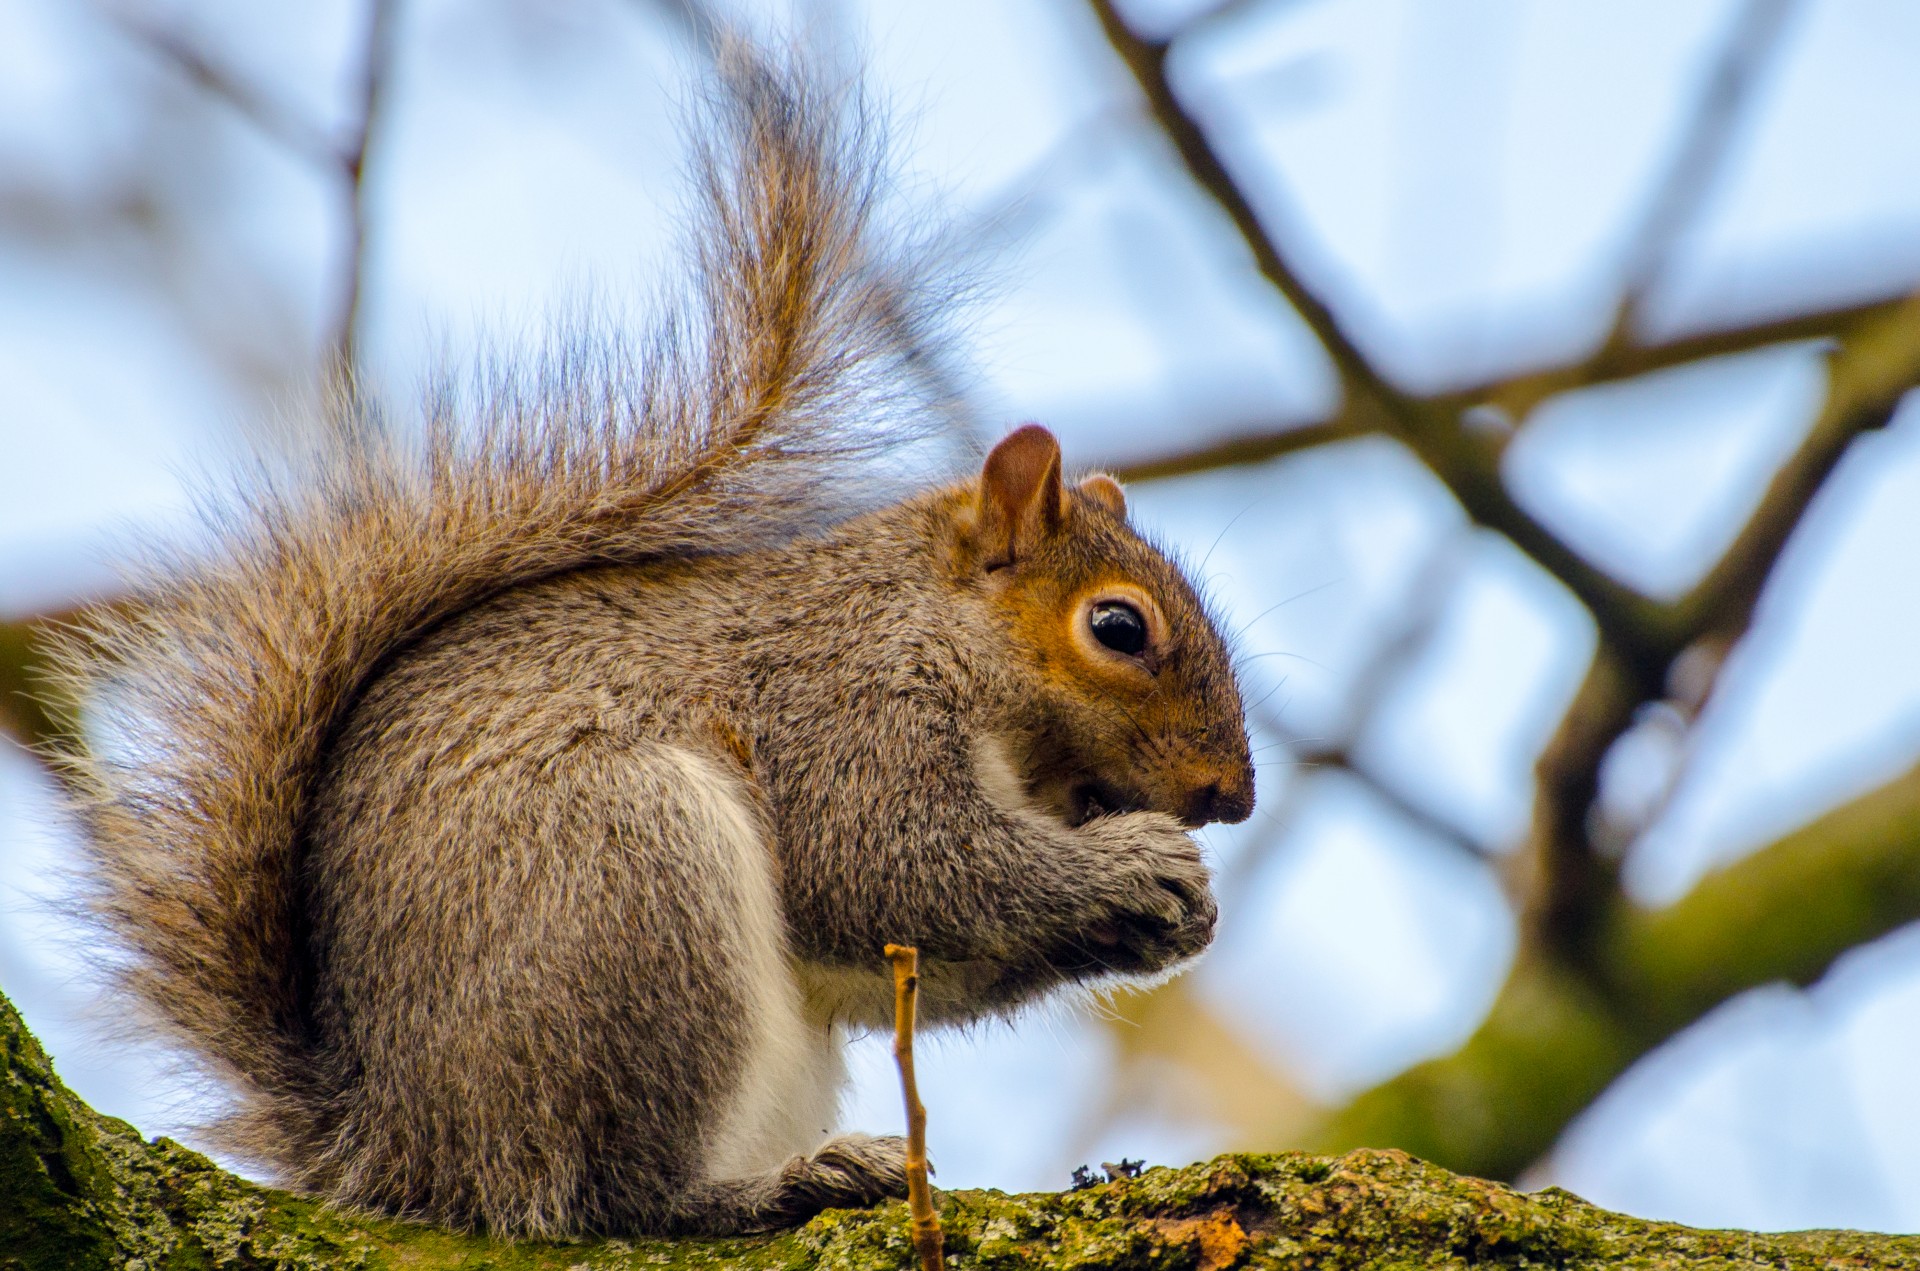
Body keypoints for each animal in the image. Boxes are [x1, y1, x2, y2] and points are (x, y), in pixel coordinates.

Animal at [48, 52, 1259, 1244]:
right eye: (1118, 627)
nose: (1232, 797)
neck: (934, 631)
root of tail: (402, 1143)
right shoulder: (841, 706)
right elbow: (894, 866)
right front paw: (1136, 866)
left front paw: (1175, 910)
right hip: (627, 886)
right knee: (610, 1192)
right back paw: (771, 1186)